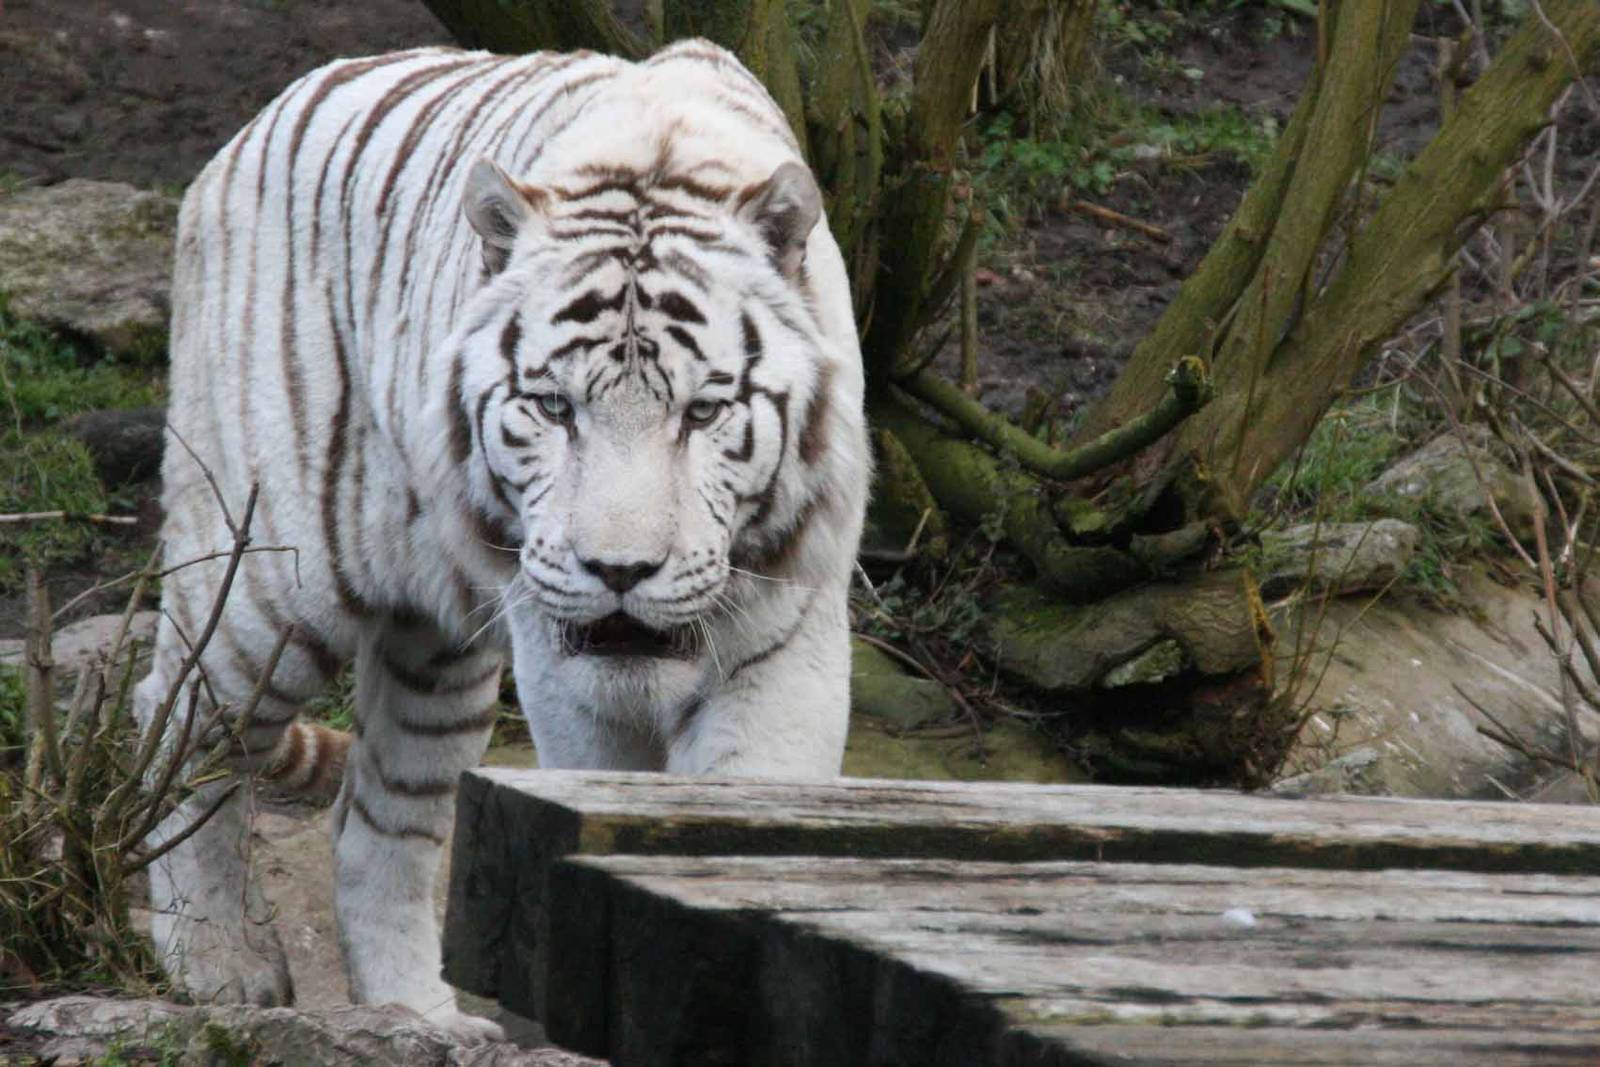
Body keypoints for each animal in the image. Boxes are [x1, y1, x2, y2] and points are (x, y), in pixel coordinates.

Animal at [138, 39, 869, 1038]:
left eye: (703, 411)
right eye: (554, 407)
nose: (620, 570)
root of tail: (251, 127)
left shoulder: (787, 639)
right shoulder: (568, 673)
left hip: (437, 658)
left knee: (376, 822)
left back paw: (416, 1018)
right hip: (265, 577)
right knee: (180, 723)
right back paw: (216, 962)